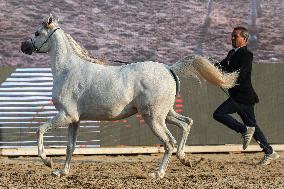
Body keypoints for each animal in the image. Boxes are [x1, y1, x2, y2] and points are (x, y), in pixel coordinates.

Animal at [20, 15, 237, 179]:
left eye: (37, 33)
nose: (24, 46)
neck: (68, 70)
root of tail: (169, 69)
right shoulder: (75, 120)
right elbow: (70, 147)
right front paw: (61, 172)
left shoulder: (66, 115)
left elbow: (40, 130)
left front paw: (48, 162)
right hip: (165, 114)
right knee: (186, 123)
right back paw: (184, 159)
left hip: (154, 118)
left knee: (169, 141)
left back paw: (158, 173)